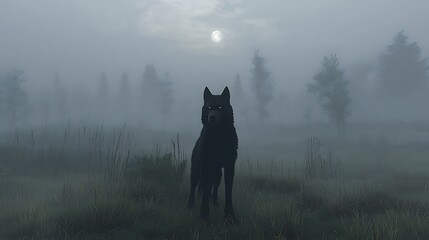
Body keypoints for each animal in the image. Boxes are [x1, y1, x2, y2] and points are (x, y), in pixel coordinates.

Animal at [187, 86, 239, 221]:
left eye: (220, 107)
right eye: (209, 107)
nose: (212, 117)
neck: (218, 138)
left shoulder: (230, 167)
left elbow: (228, 192)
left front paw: (229, 216)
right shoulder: (205, 166)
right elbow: (204, 191)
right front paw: (204, 216)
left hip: (218, 175)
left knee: (213, 190)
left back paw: (215, 203)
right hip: (196, 172)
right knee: (194, 188)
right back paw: (190, 205)